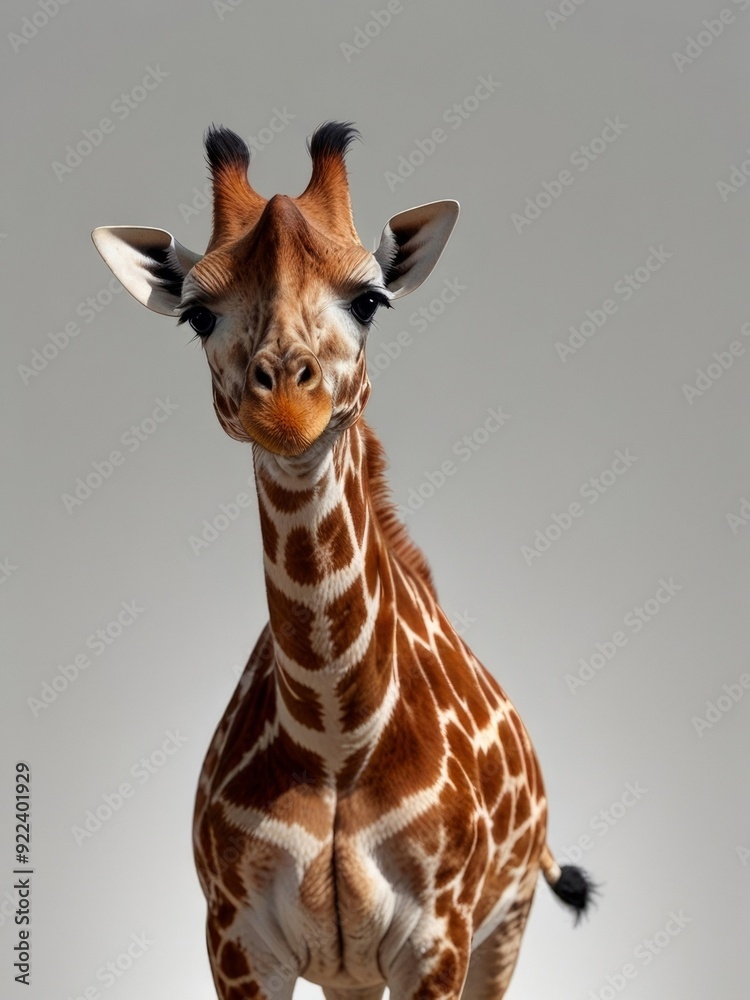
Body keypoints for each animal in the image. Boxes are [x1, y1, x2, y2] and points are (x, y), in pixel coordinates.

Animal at [92, 121, 594, 999]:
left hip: (506, 926)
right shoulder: (238, 939)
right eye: (198, 315)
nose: (288, 403)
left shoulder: (437, 940)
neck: (332, 735)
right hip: (349, 969)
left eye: (369, 300)